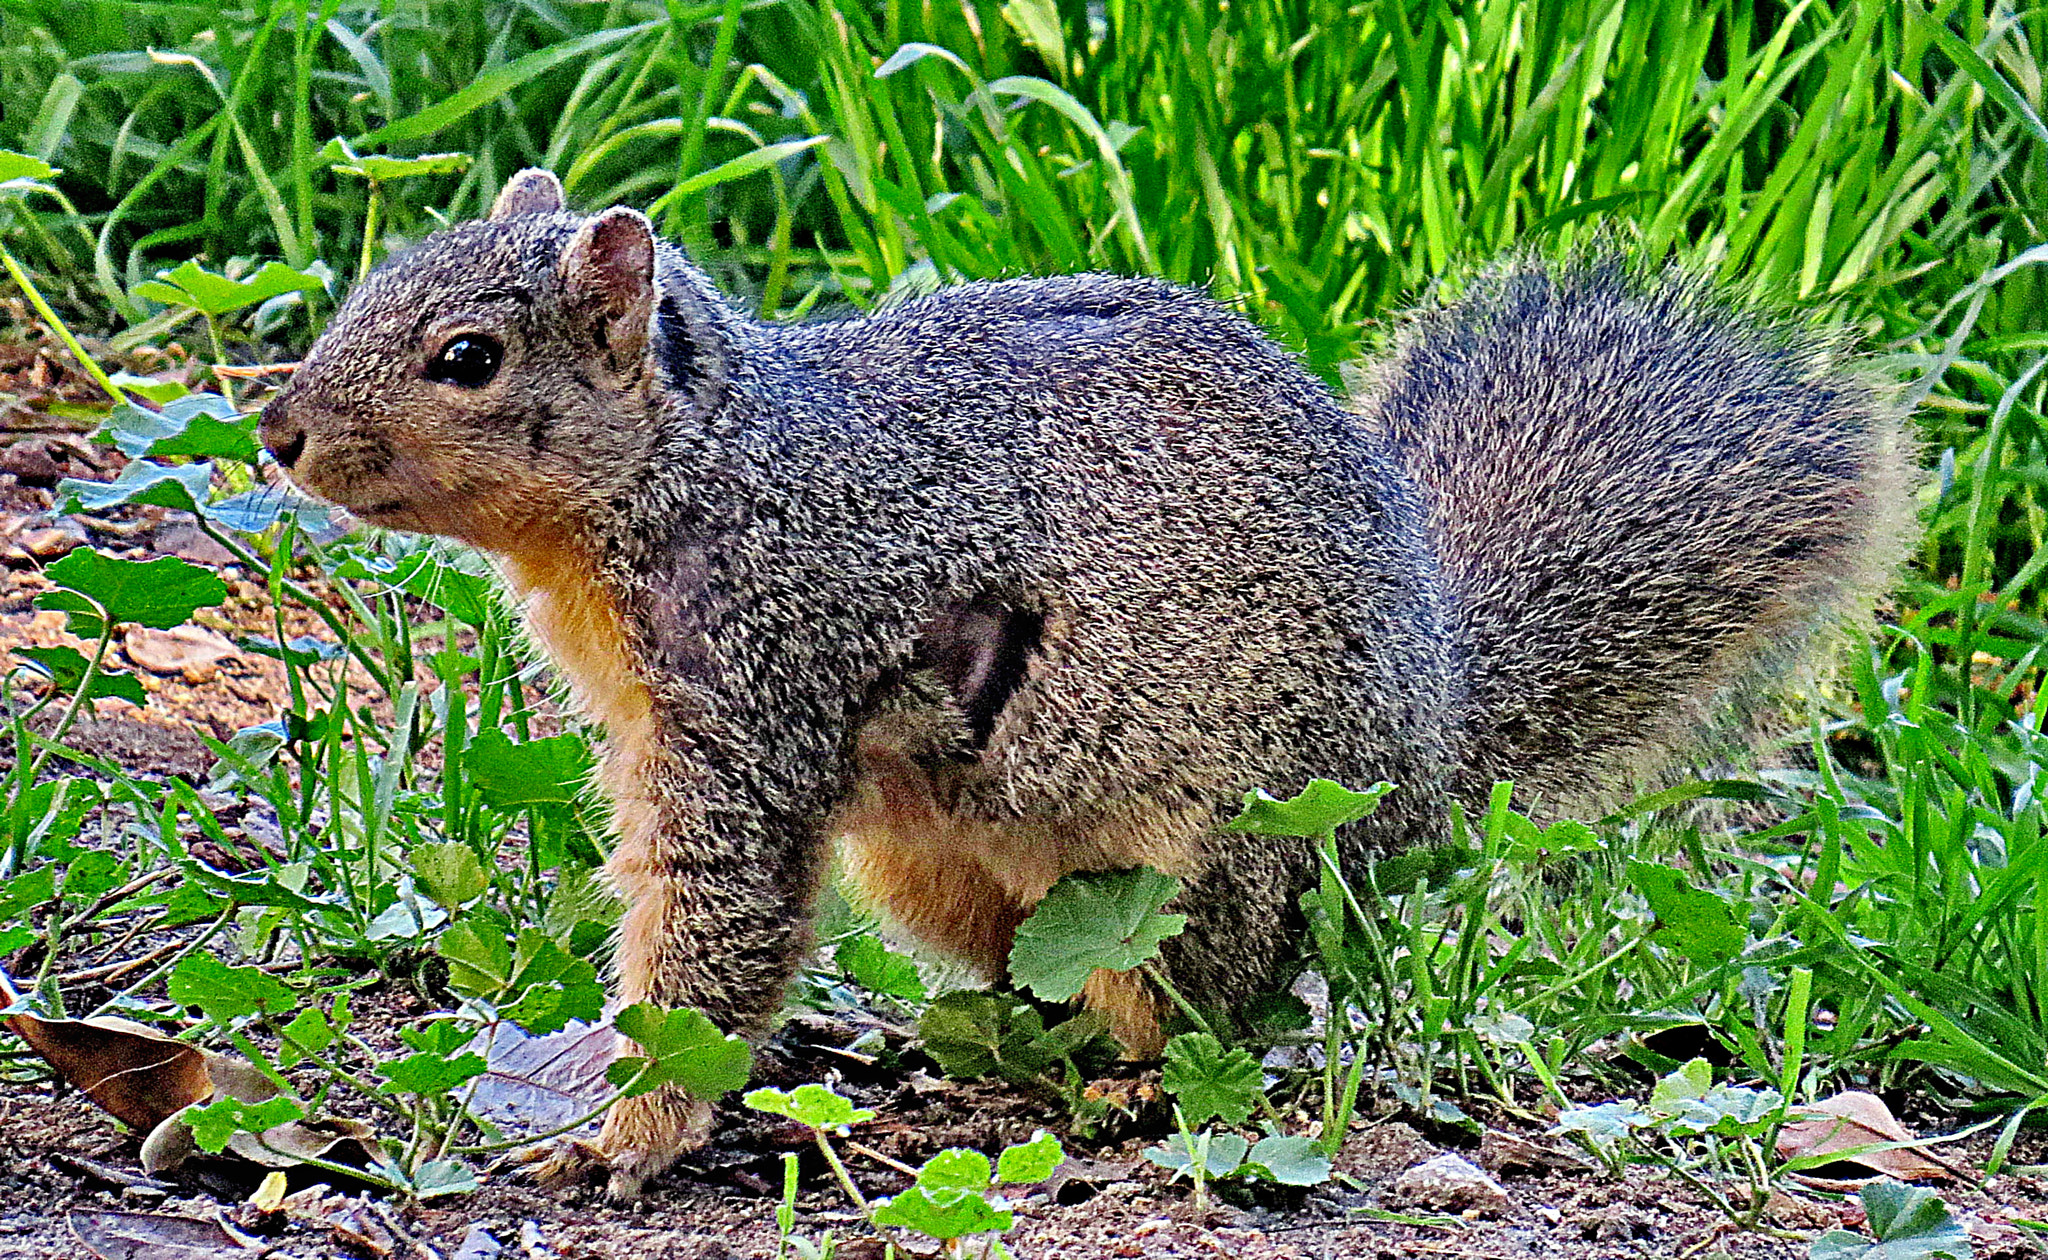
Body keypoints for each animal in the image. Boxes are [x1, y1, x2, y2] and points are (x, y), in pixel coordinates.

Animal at [260, 170, 1916, 1204]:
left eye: (466, 357)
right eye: (371, 285)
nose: (276, 432)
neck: (709, 469)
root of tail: (1424, 752)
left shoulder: (764, 691)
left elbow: (712, 937)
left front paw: (626, 1135)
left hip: (1216, 854)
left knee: (1205, 1007)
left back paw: (1128, 1089)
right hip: (934, 865)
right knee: (1026, 973)